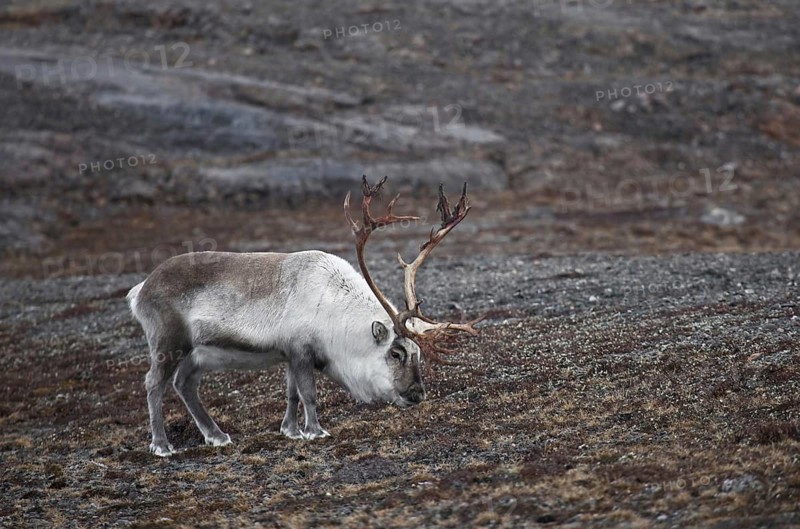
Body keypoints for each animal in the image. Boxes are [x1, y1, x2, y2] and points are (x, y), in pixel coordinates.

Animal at [126, 176, 482, 456]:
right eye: (395, 353)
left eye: (418, 352)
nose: (417, 395)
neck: (336, 313)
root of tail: (141, 289)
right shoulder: (300, 350)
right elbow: (308, 394)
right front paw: (315, 431)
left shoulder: (288, 354)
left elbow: (291, 393)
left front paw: (291, 431)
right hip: (168, 343)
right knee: (154, 383)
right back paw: (162, 446)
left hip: (197, 354)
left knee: (184, 383)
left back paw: (217, 436)